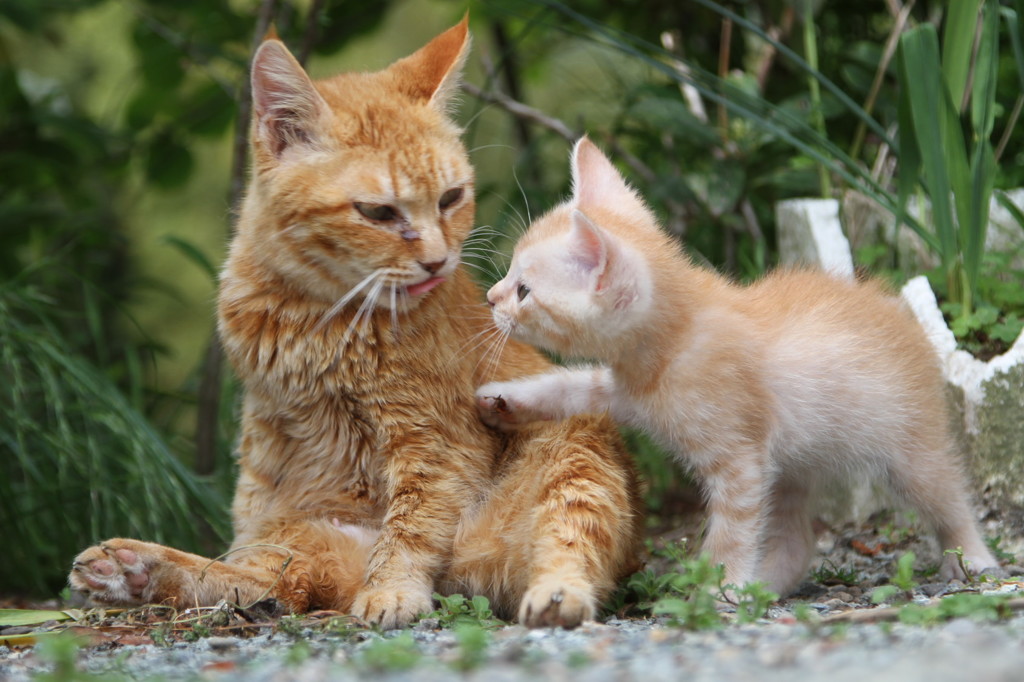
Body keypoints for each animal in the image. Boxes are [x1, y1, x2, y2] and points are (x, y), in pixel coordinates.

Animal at [70, 19, 638, 626]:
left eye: (450, 198)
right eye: (379, 213)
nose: (437, 260)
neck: (316, 314)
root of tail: (463, 574)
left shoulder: (435, 442)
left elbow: (414, 522)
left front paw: (393, 589)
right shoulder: (266, 441)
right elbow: (252, 541)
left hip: (574, 447)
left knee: (565, 539)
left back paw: (553, 597)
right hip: (307, 529)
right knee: (270, 580)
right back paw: (135, 569)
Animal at [479, 135, 999, 593]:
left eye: (523, 290)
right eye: (510, 278)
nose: (490, 297)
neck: (669, 347)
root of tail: (899, 310)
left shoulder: (739, 462)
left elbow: (732, 532)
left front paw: (718, 586)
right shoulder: (624, 391)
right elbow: (569, 386)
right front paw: (504, 399)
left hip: (910, 445)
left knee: (949, 497)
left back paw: (973, 558)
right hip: (792, 464)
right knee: (797, 539)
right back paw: (764, 587)